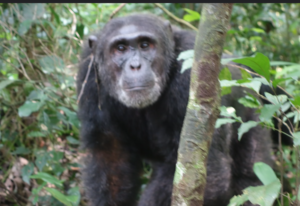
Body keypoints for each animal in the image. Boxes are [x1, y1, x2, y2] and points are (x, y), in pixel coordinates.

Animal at [77, 13, 276, 205]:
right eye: (120, 48)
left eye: (145, 45)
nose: (135, 66)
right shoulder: (89, 72)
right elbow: (111, 159)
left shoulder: (193, 77)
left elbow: (204, 174)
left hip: (253, 118)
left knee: (251, 175)